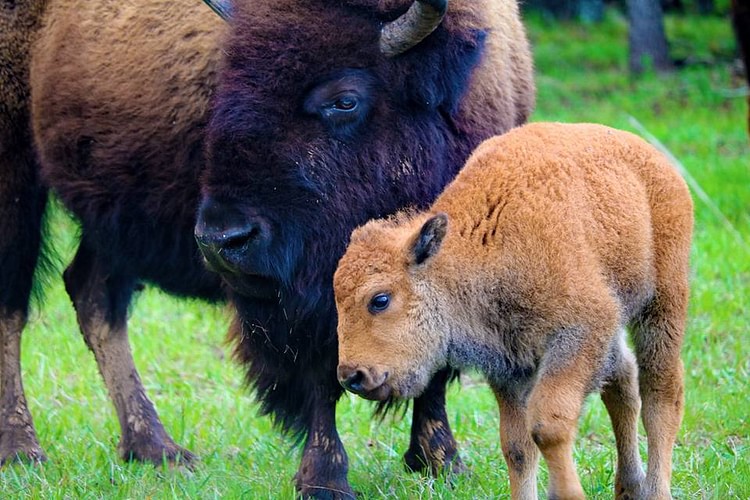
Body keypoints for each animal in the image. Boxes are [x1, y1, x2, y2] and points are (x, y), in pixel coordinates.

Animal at [2, 0, 536, 496]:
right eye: (224, 88)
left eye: (345, 100)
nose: (222, 240)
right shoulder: (305, 296)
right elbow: (321, 373)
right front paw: (324, 480)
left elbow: (436, 364)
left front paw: (441, 464)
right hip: (18, 179)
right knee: (14, 305)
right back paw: (23, 450)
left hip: (111, 220)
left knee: (94, 297)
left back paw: (158, 450)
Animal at [334, 122, 692, 500]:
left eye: (380, 299)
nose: (353, 376)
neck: (483, 246)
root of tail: (652, 157)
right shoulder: (509, 366)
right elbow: (518, 447)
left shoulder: (581, 332)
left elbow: (548, 427)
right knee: (622, 381)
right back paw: (630, 487)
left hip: (663, 305)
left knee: (660, 393)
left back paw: (656, 490)